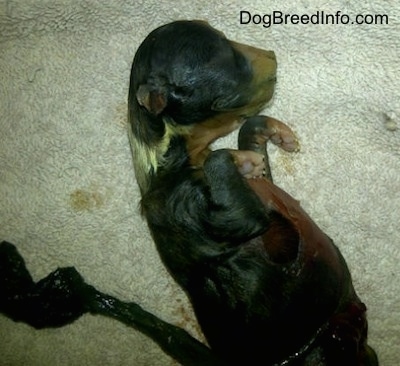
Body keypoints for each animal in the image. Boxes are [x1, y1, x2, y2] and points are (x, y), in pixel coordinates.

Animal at [128, 20, 378, 366]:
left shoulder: (263, 185)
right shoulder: (193, 206)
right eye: (224, 54)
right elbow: (225, 171)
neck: (172, 157)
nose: (272, 54)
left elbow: (252, 137)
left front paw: (276, 136)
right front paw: (240, 159)